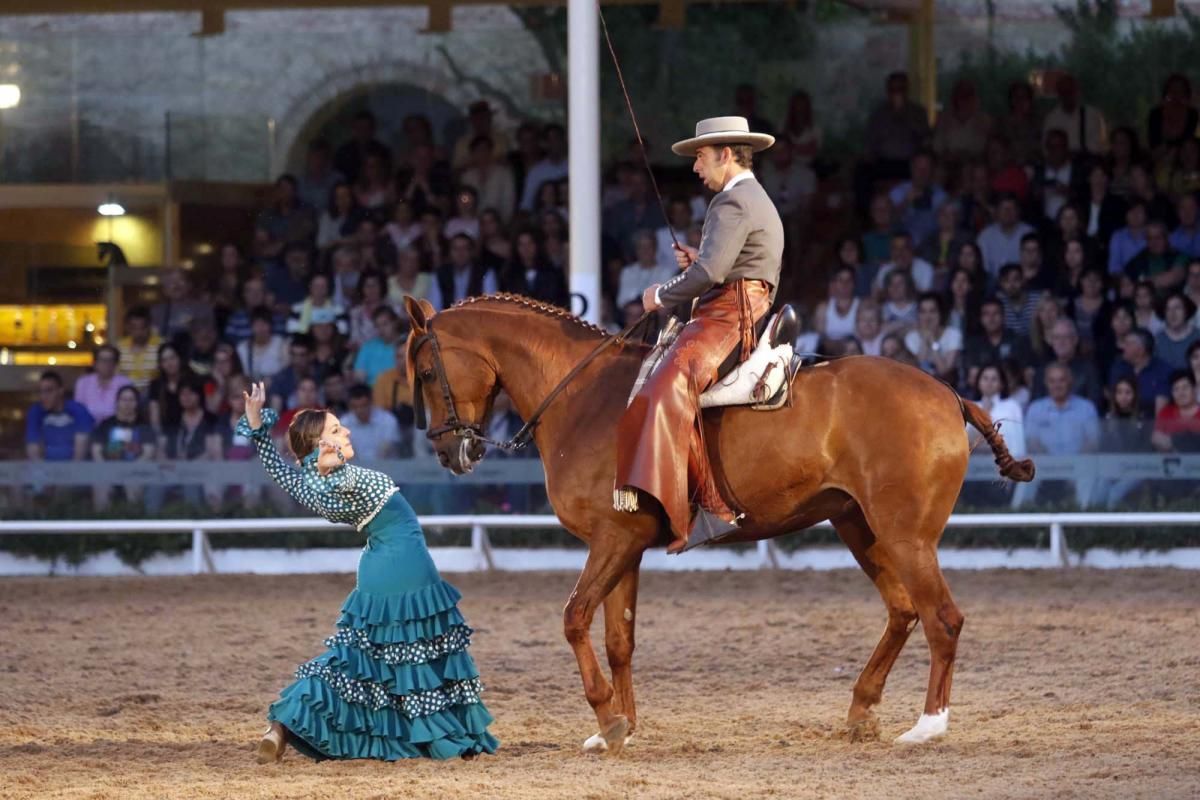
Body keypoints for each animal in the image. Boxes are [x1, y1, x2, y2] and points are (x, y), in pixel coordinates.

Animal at [403, 296, 1032, 758]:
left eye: (428, 371)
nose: (449, 452)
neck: (584, 397)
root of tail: (948, 393)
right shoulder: (623, 544)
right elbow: (619, 638)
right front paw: (622, 725)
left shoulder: (612, 541)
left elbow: (574, 618)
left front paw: (608, 717)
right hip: (858, 526)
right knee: (903, 612)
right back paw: (861, 709)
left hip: (906, 537)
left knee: (941, 619)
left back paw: (928, 726)